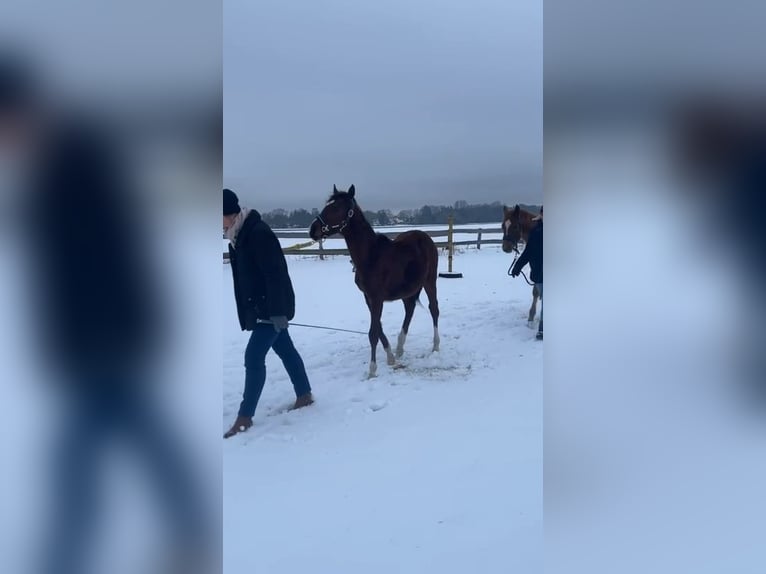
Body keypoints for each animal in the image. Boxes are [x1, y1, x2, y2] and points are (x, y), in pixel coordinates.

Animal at [309, 185, 440, 378]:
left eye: (337, 207)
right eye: (327, 204)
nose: (313, 230)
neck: (370, 256)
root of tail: (425, 237)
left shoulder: (377, 298)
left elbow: (373, 332)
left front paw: (372, 370)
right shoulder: (368, 297)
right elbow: (378, 328)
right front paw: (390, 357)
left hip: (430, 281)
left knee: (434, 309)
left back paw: (436, 346)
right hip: (407, 288)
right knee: (410, 309)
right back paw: (400, 348)